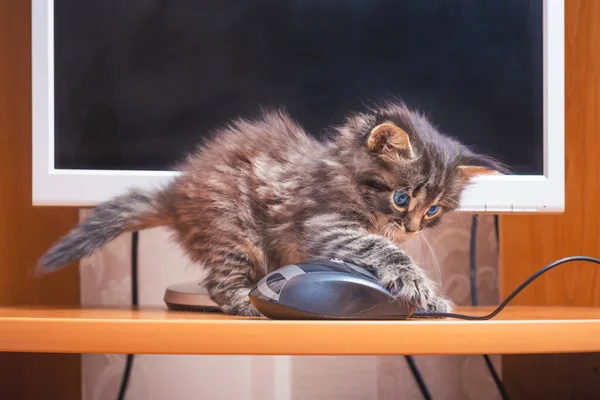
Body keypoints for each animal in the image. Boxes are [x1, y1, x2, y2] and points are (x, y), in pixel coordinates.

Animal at [37, 102, 504, 316]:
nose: (411, 227)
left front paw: (432, 302)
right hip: (235, 231)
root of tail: (178, 190)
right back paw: (248, 306)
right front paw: (419, 287)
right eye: (402, 198)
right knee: (219, 285)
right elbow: (382, 249)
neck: (343, 173)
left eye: (434, 210)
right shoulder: (325, 223)